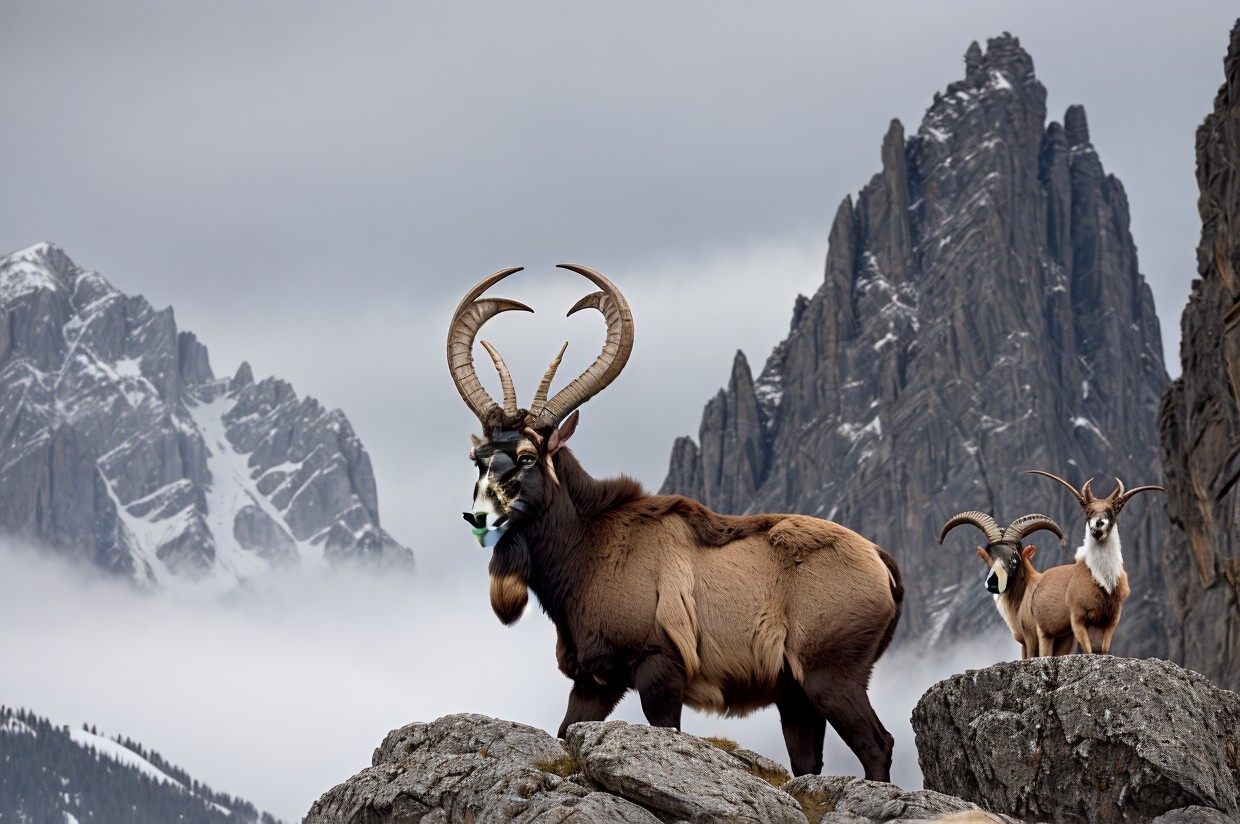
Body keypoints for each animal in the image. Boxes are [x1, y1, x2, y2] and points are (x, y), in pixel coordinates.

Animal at [448, 265, 905, 781]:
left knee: (877, 744)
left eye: (528, 456)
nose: (480, 517)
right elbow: (565, 733)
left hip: (831, 676)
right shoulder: (593, 683)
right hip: (796, 697)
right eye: (480, 458)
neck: (591, 546)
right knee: (810, 762)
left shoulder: (659, 669)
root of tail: (880, 561)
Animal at [1023, 470, 1163, 655]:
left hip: (1062, 635)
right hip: (1044, 632)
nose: (1097, 526)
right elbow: (1088, 650)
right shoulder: (1078, 618)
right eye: (1088, 511)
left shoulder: (1110, 619)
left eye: (1111, 510)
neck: (1104, 583)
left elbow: (1103, 649)